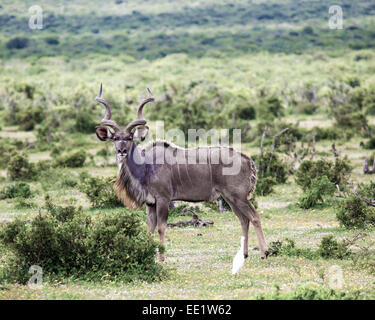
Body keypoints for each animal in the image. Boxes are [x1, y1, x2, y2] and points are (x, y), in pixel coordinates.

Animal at [95, 84, 268, 266]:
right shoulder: (150, 203)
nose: (121, 151)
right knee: (244, 220)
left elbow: (161, 228)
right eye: (115, 138)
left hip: (239, 197)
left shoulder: (163, 199)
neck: (146, 165)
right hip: (230, 199)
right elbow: (149, 229)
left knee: (254, 217)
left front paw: (161, 258)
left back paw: (264, 252)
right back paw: (244, 254)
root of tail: (248, 160)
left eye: (129, 138)